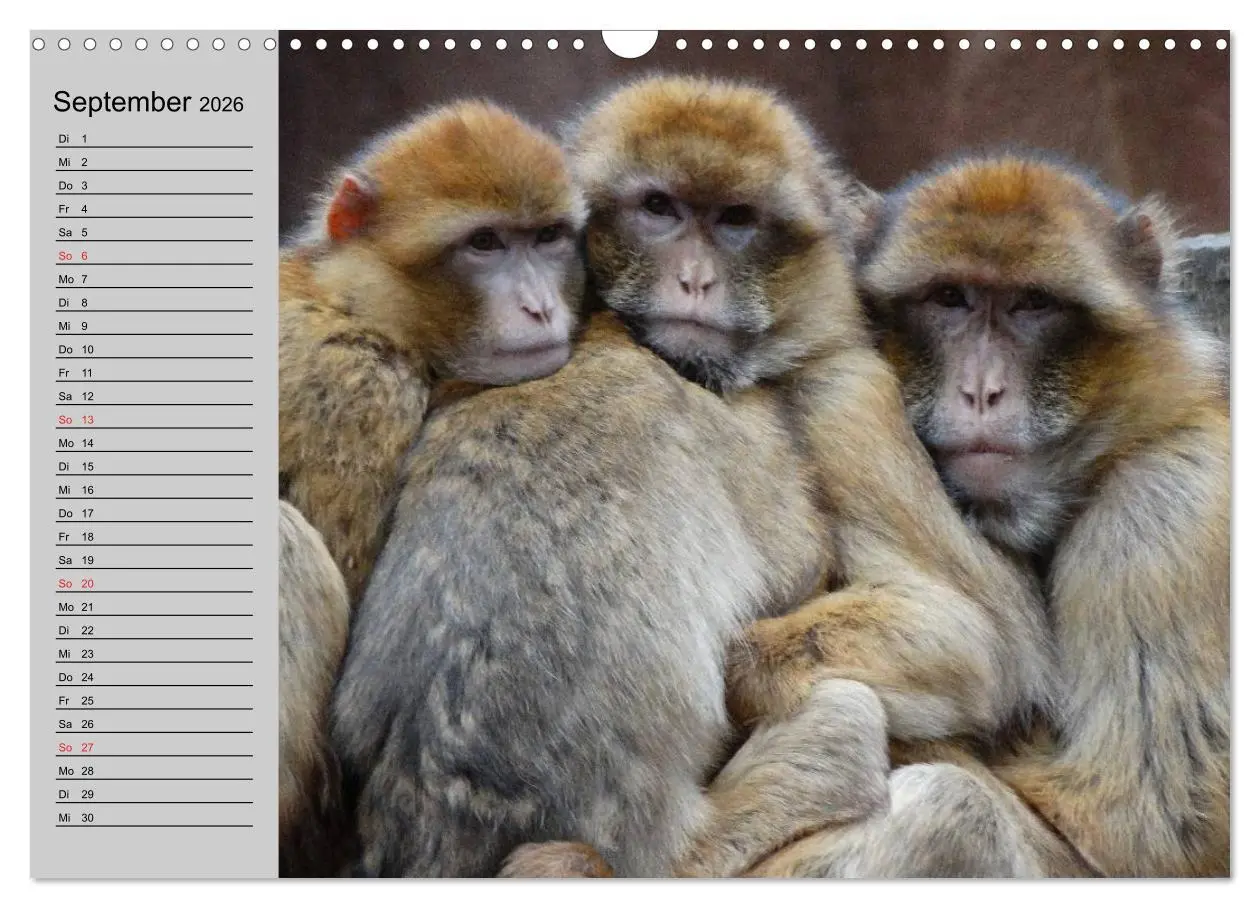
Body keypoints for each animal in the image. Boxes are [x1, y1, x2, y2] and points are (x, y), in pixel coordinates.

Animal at [734, 155, 1229, 877]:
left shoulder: (1168, 509)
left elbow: (1133, 832)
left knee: (958, 809)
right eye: (951, 298)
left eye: (1033, 305)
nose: (981, 390)